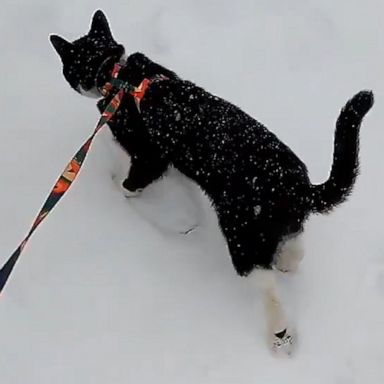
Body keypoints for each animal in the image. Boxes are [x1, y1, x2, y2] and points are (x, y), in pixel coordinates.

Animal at [50, 10, 376, 354]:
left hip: (241, 235)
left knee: (266, 283)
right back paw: (286, 262)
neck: (116, 72)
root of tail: (298, 186)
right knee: (295, 249)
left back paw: (278, 332)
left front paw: (114, 188)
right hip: (280, 225)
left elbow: (130, 183)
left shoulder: (149, 156)